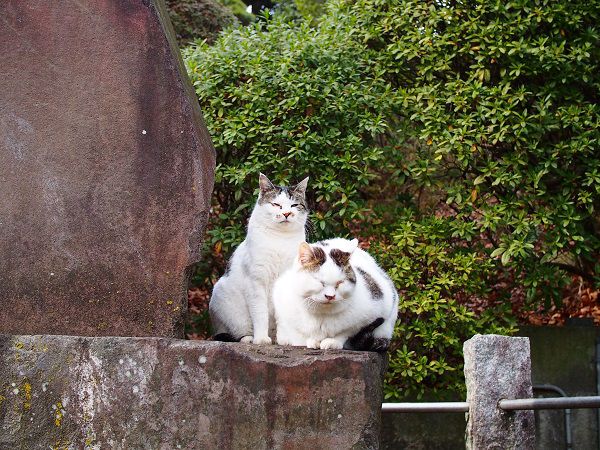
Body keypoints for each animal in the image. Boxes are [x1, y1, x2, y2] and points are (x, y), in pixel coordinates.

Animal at [209, 172, 310, 344]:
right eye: (276, 204)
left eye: (294, 205)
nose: (287, 214)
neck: (280, 239)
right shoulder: (256, 281)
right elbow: (260, 313)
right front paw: (261, 339)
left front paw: (284, 339)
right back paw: (251, 338)